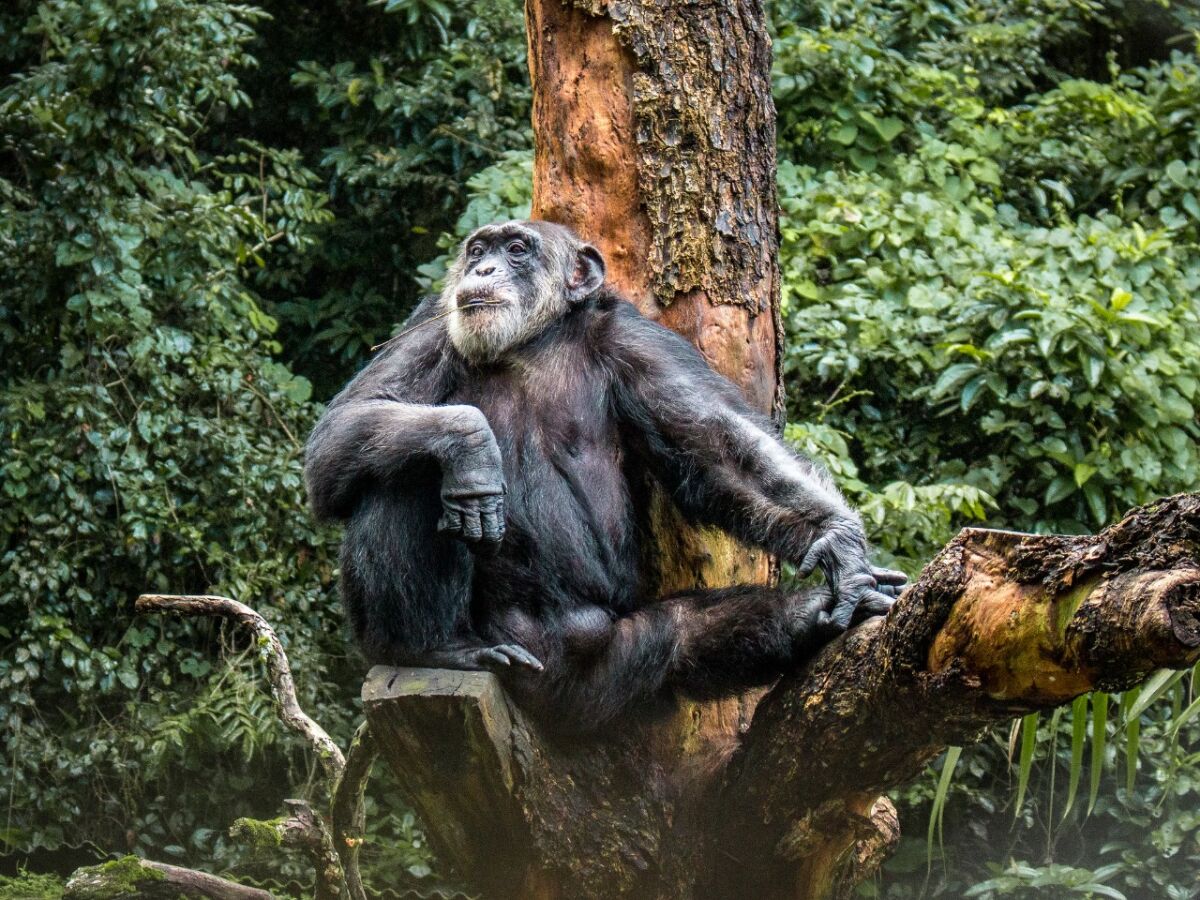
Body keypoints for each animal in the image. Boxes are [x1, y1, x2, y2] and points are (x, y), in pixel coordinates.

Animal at [304, 222, 902, 734]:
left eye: (516, 250)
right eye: (478, 250)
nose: (483, 269)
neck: (536, 340)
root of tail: (545, 694)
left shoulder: (639, 344)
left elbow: (721, 448)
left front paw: (841, 549)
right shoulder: (432, 323)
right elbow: (342, 430)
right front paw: (470, 443)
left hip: (606, 670)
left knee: (681, 635)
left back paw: (814, 612)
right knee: (408, 474)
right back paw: (431, 647)